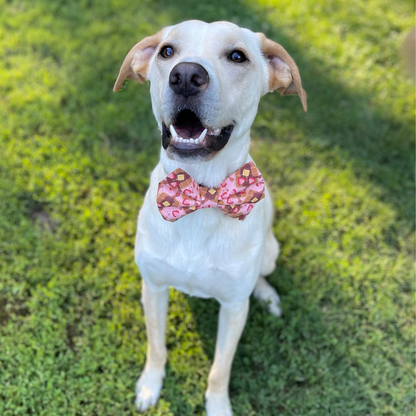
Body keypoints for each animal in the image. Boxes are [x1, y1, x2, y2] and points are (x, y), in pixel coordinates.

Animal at [113, 20, 306, 416]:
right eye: (167, 51)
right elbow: (156, 347)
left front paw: (218, 406)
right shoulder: (153, 288)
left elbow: (220, 368)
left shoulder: (233, 309)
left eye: (237, 56)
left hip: (270, 253)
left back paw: (267, 296)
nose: (186, 76)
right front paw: (150, 386)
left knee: (260, 277)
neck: (200, 195)